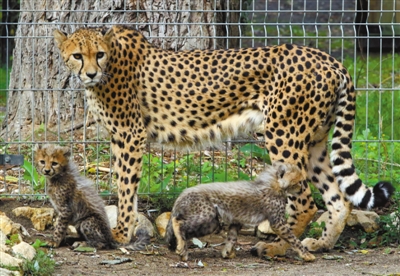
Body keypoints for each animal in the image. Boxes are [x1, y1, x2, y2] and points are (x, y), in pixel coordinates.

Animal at [53, 25, 394, 254]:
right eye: (77, 56)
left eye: (99, 54)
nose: (91, 74)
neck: (110, 65)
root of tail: (329, 58)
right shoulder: (119, 137)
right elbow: (123, 186)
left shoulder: (129, 135)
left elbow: (124, 188)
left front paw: (122, 234)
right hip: (315, 142)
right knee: (338, 200)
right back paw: (320, 244)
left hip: (283, 134)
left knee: (306, 203)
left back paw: (279, 248)